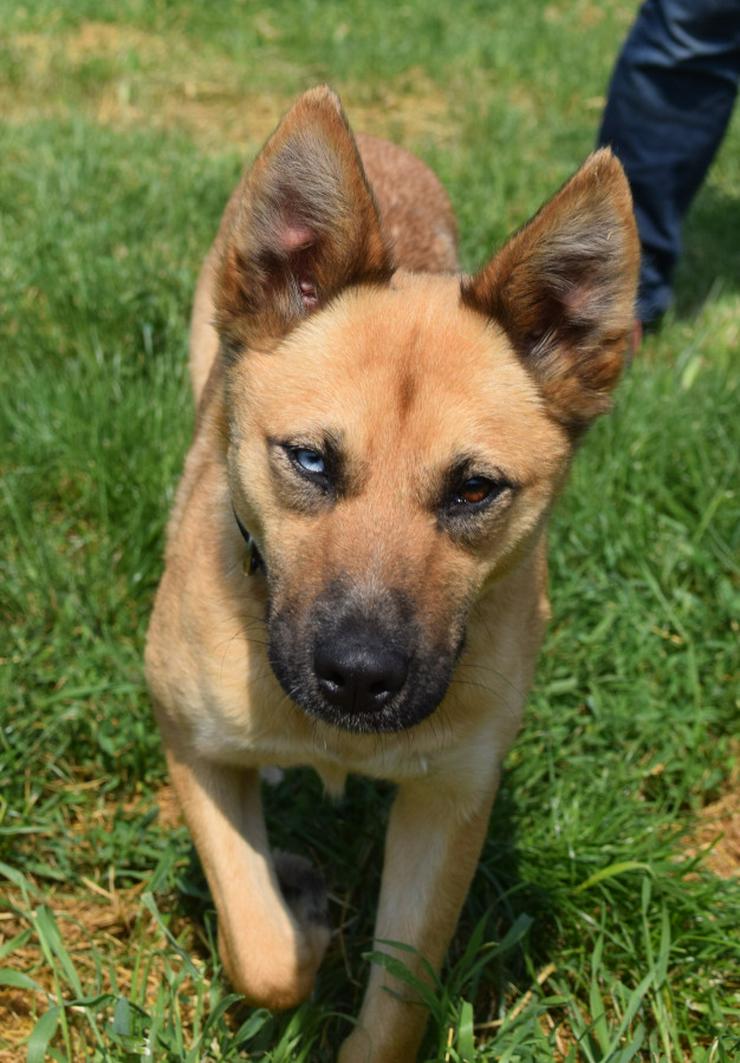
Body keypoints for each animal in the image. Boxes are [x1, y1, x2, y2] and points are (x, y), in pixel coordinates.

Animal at [147, 85, 637, 1063]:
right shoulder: (188, 740)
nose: (360, 677)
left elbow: (401, 997)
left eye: (474, 488)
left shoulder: (451, 799)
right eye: (309, 459)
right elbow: (261, 950)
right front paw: (297, 916)